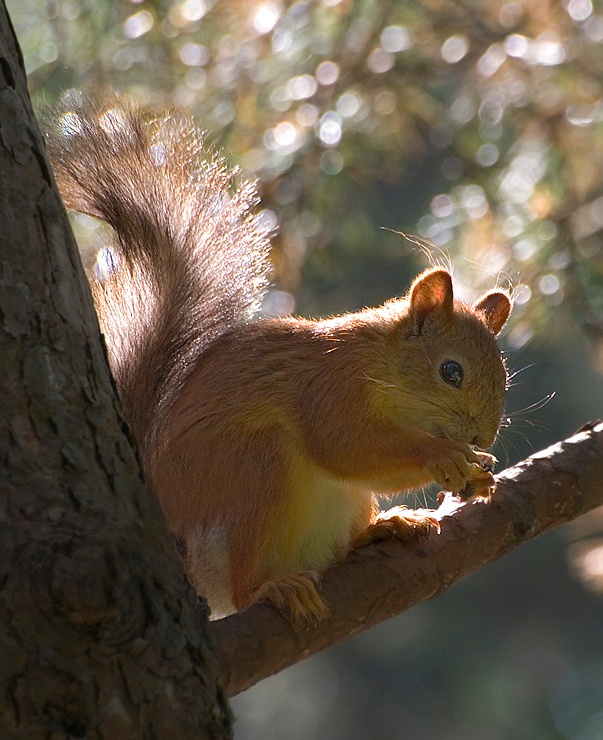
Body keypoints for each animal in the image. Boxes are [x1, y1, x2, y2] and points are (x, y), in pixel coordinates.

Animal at [45, 97, 512, 624]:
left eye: (504, 376)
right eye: (451, 372)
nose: (481, 437)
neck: (381, 366)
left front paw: (480, 470)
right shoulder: (329, 387)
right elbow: (343, 446)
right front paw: (444, 455)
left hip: (340, 504)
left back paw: (385, 526)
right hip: (252, 469)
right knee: (243, 584)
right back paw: (270, 588)